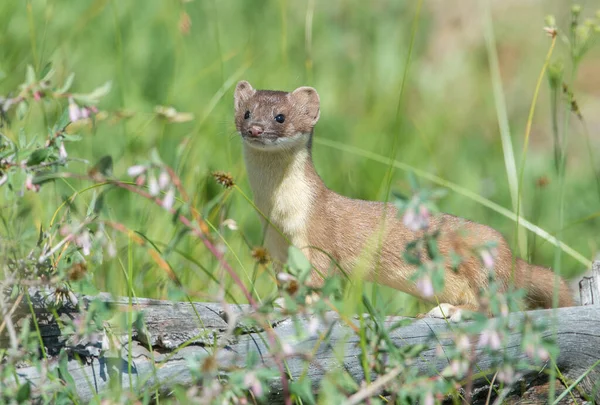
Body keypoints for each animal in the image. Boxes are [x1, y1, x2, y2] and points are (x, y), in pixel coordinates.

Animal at [232, 79, 576, 318]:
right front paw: (279, 300)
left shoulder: (316, 236)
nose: (256, 129)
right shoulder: (276, 245)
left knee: (497, 306)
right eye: (246, 112)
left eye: (280, 116)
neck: (279, 215)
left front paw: (299, 304)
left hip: (480, 264)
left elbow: (318, 279)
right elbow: (287, 280)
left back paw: (449, 310)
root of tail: (510, 254)